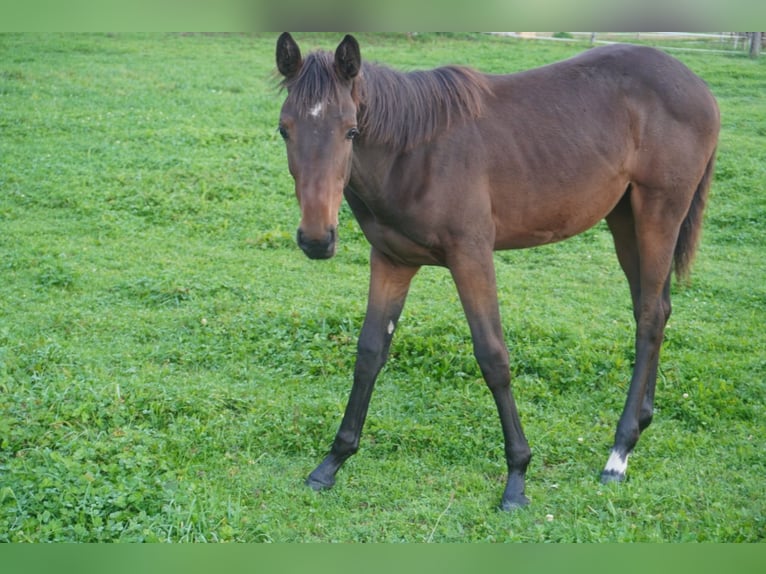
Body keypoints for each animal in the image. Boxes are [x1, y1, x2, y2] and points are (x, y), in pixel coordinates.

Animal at [274, 33, 719, 510]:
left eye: (351, 131)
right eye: (284, 129)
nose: (317, 239)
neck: (414, 154)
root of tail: (698, 87)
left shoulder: (471, 256)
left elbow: (493, 357)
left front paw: (517, 477)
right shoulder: (392, 261)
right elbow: (370, 352)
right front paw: (332, 461)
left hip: (660, 211)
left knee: (651, 316)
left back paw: (619, 453)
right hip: (625, 218)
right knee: (652, 309)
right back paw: (643, 421)